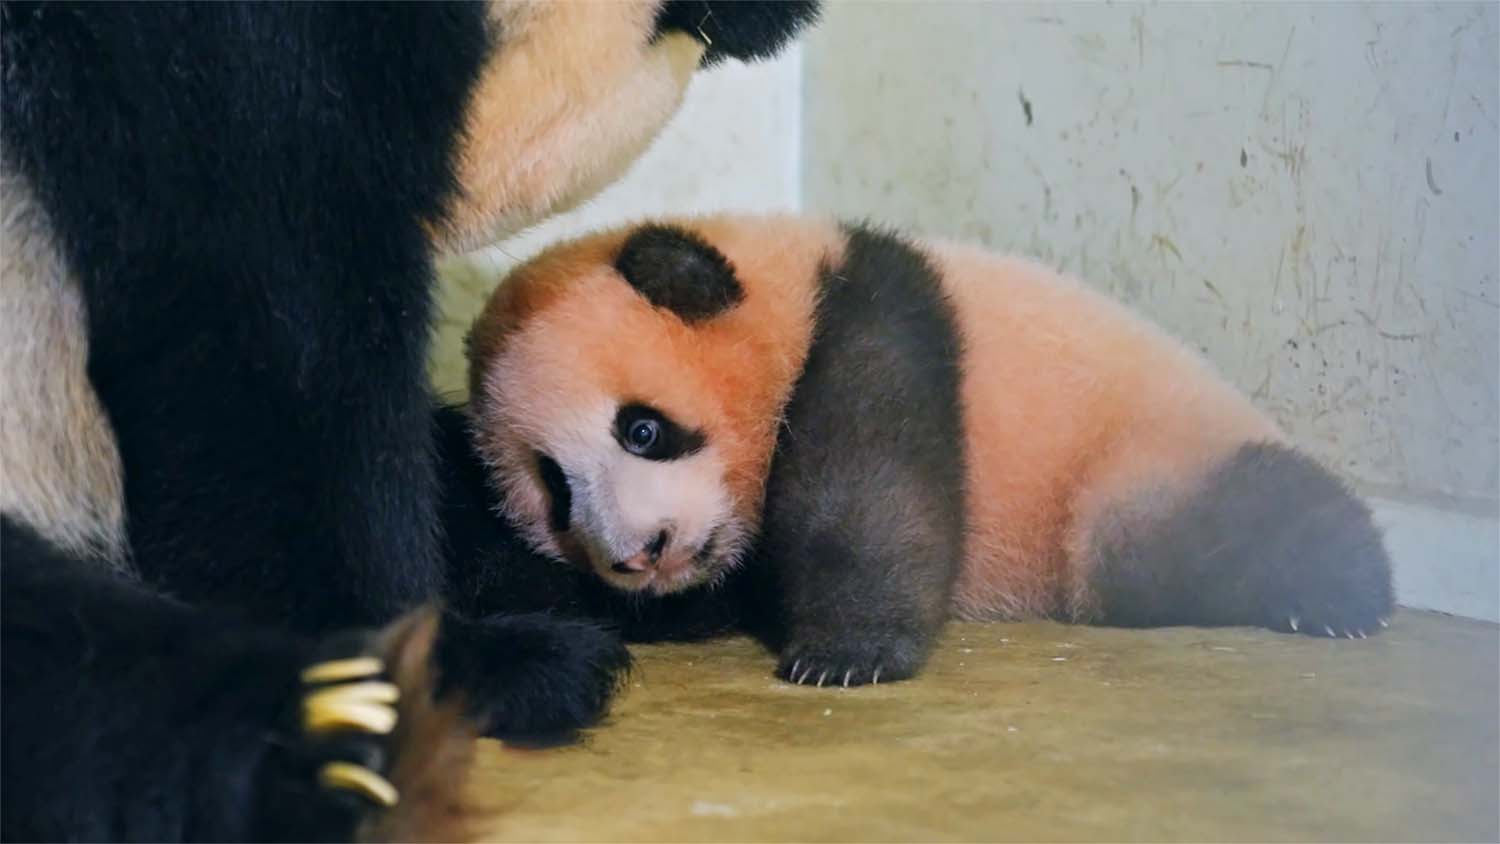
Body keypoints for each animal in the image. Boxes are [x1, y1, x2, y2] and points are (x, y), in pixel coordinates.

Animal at [450, 214, 1395, 689]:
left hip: (1138, 462)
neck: (793, 269)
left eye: (641, 430)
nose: (640, 554)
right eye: (554, 492)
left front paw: (845, 655)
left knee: (1209, 531)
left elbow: (870, 491)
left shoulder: (874, 320)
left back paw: (1340, 590)